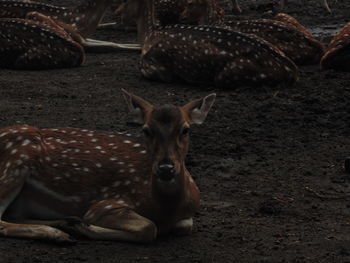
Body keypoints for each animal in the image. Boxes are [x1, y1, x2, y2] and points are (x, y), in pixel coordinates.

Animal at [0, 0, 139, 52]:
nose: (118, 13)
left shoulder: (81, 36)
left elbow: (113, 42)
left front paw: (139, 45)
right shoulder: (73, 35)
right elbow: (111, 44)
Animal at [0, 90, 216, 243]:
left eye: (186, 130)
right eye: (146, 130)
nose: (166, 168)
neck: (166, 207)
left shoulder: (187, 216)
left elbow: (183, 226)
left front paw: (76, 225)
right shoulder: (105, 204)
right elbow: (149, 228)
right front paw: (84, 227)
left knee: (13, 215)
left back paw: (66, 224)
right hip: (15, 163)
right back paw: (57, 233)